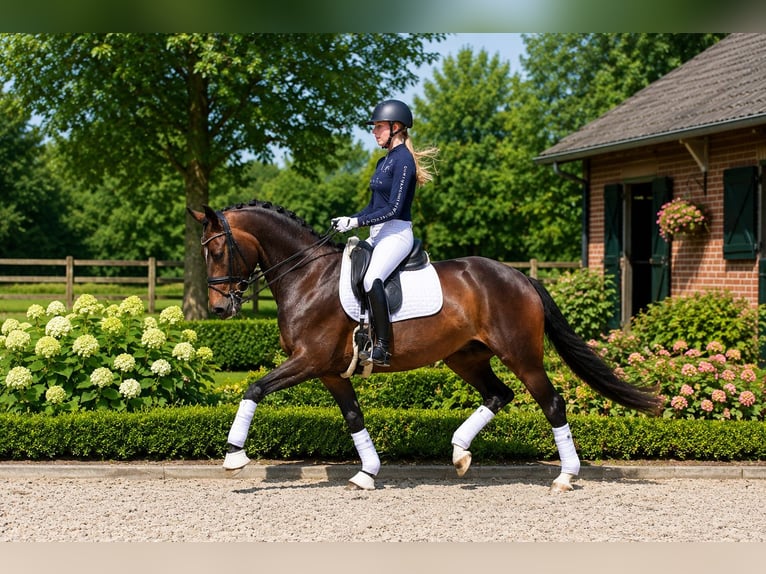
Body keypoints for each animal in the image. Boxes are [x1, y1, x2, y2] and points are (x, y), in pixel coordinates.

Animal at [188, 200, 661, 493]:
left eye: (217, 250)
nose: (218, 308)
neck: (307, 276)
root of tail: (520, 276)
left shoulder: (308, 360)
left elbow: (253, 388)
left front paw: (234, 456)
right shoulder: (328, 370)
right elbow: (354, 417)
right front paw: (367, 473)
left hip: (522, 356)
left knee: (552, 403)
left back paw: (565, 476)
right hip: (464, 357)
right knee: (498, 394)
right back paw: (459, 454)